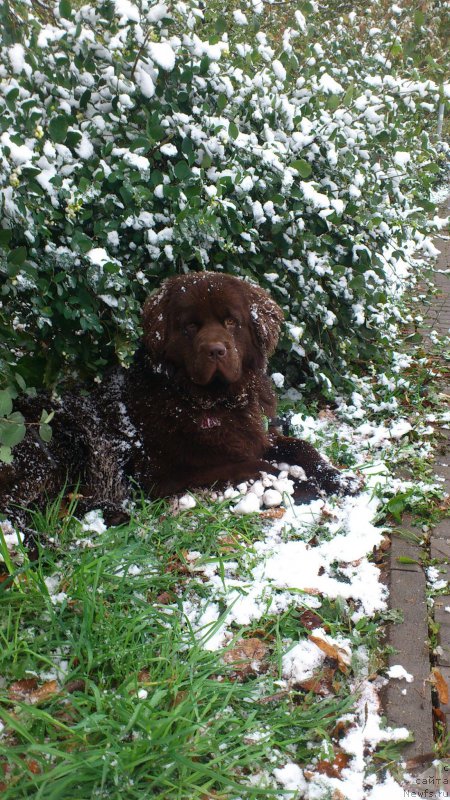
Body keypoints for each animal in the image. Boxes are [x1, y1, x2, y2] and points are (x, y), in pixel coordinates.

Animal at [0, 276, 356, 524]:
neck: (212, 401)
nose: (216, 350)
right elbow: (253, 467)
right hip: (55, 443)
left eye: (231, 322)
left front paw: (339, 479)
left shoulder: (256, 435)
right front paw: (299, 487)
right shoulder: (163, 475)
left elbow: (301, 447)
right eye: (190, 326)